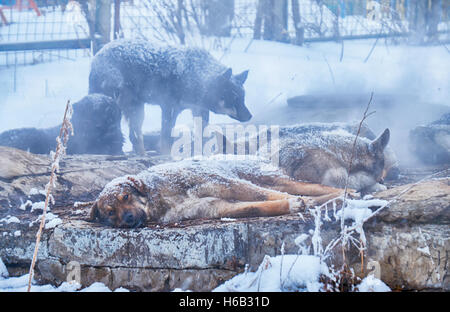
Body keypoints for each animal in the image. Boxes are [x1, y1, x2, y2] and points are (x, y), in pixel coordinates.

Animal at [88, 39, 250, 155]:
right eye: (234, 98)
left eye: (243, 98)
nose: (250, 116)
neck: (194, 76)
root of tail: (97, 57)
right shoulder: (168, 108)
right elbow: (166, 136)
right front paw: (166, 156)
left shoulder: (197, 110)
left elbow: (201, 136)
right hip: (131, 110)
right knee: (133, 136)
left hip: (137, 110)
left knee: (134, 137)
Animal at [90, 156, 352, 227]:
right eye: (110, 212)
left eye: (126, 196)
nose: (128, 219)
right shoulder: (214, 206)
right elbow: (256, 207)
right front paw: (291, 205)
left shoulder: (225, 184)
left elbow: (263, 197)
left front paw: (296, 203)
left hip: (268, 178)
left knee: (315, 187)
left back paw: (347, 192)